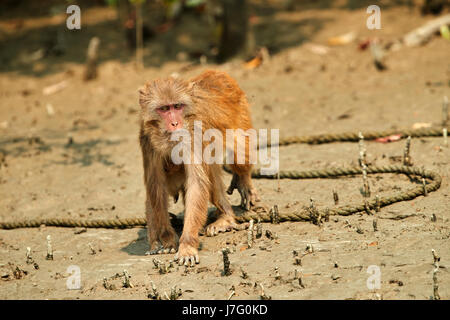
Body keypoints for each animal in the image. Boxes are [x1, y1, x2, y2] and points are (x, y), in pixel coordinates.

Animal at [139, 69, 258, 264]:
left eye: (177, 106)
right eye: (164, 109)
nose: (175, 124)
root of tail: (216, 72)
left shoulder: (194, 134)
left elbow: (196, 184)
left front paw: (187, 245)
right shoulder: (147, 139)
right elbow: (156, 187)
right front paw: (167, 240)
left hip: (239, 117)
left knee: (235, 157)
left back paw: (228, 211)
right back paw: (155, 242)